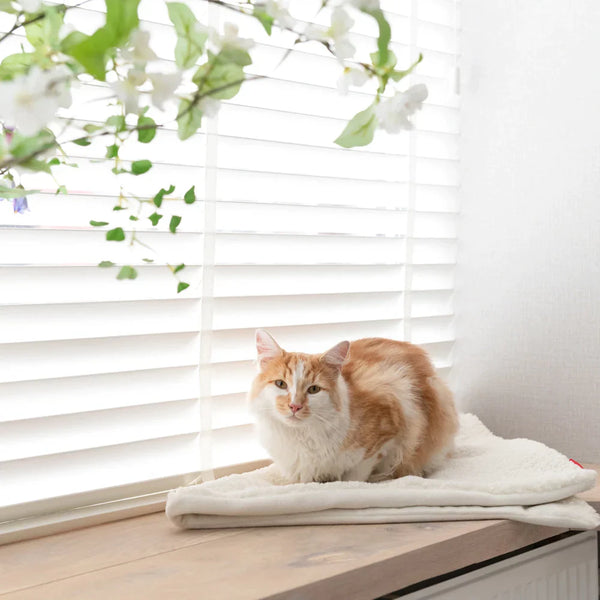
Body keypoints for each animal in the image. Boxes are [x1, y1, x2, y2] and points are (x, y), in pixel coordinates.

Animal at [248, 330, 460, 486]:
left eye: (314, 389)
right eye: (281, 384)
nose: (294, 406)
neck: (302, 436)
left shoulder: (388, 428)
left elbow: (355, 476)